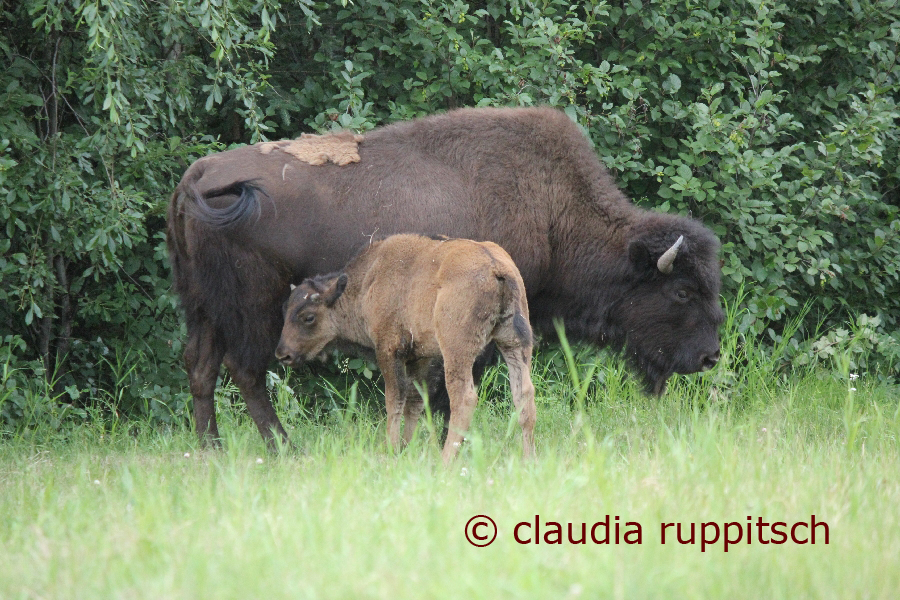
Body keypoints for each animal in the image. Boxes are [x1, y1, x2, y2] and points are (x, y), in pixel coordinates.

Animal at [276, 234, 536, 464]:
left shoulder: (389, 351)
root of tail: (496, 267)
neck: (367, 282)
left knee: (464, 399)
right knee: (523, 394)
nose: (282, 354)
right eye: (285, 310)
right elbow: (414, 401)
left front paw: (390, 448)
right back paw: (527, 460)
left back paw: (445, 461)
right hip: (514, 344)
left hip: (456, 352)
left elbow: (394, 400)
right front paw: (405, 448)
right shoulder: (419, 358)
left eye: (308, 317)